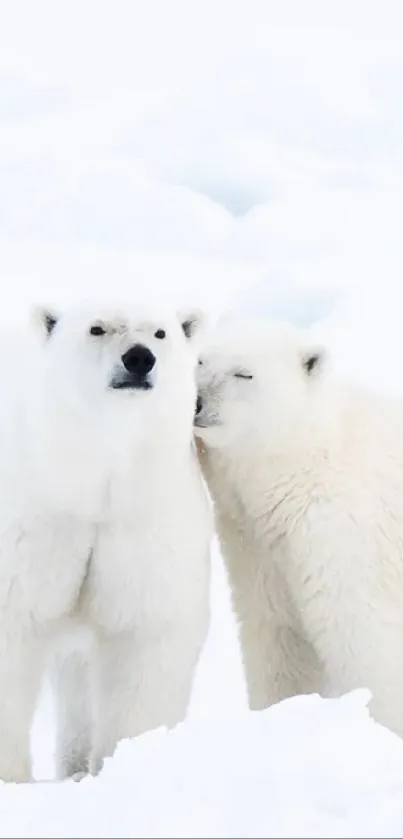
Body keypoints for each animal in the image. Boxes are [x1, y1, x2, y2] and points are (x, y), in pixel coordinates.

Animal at [0, 300, 211, 780]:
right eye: (97, 328)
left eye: (160, 333)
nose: (138, 359)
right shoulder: (35, 522)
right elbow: (14, 625)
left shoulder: (140, 523)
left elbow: (144, 636)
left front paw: (128, 759)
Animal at [195, 318, 403, 740]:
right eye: (201, 360)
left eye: (244, 373)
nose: (197, 401)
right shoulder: (257, 545)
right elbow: (280, 637)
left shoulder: (342, 534)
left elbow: (367, 642)